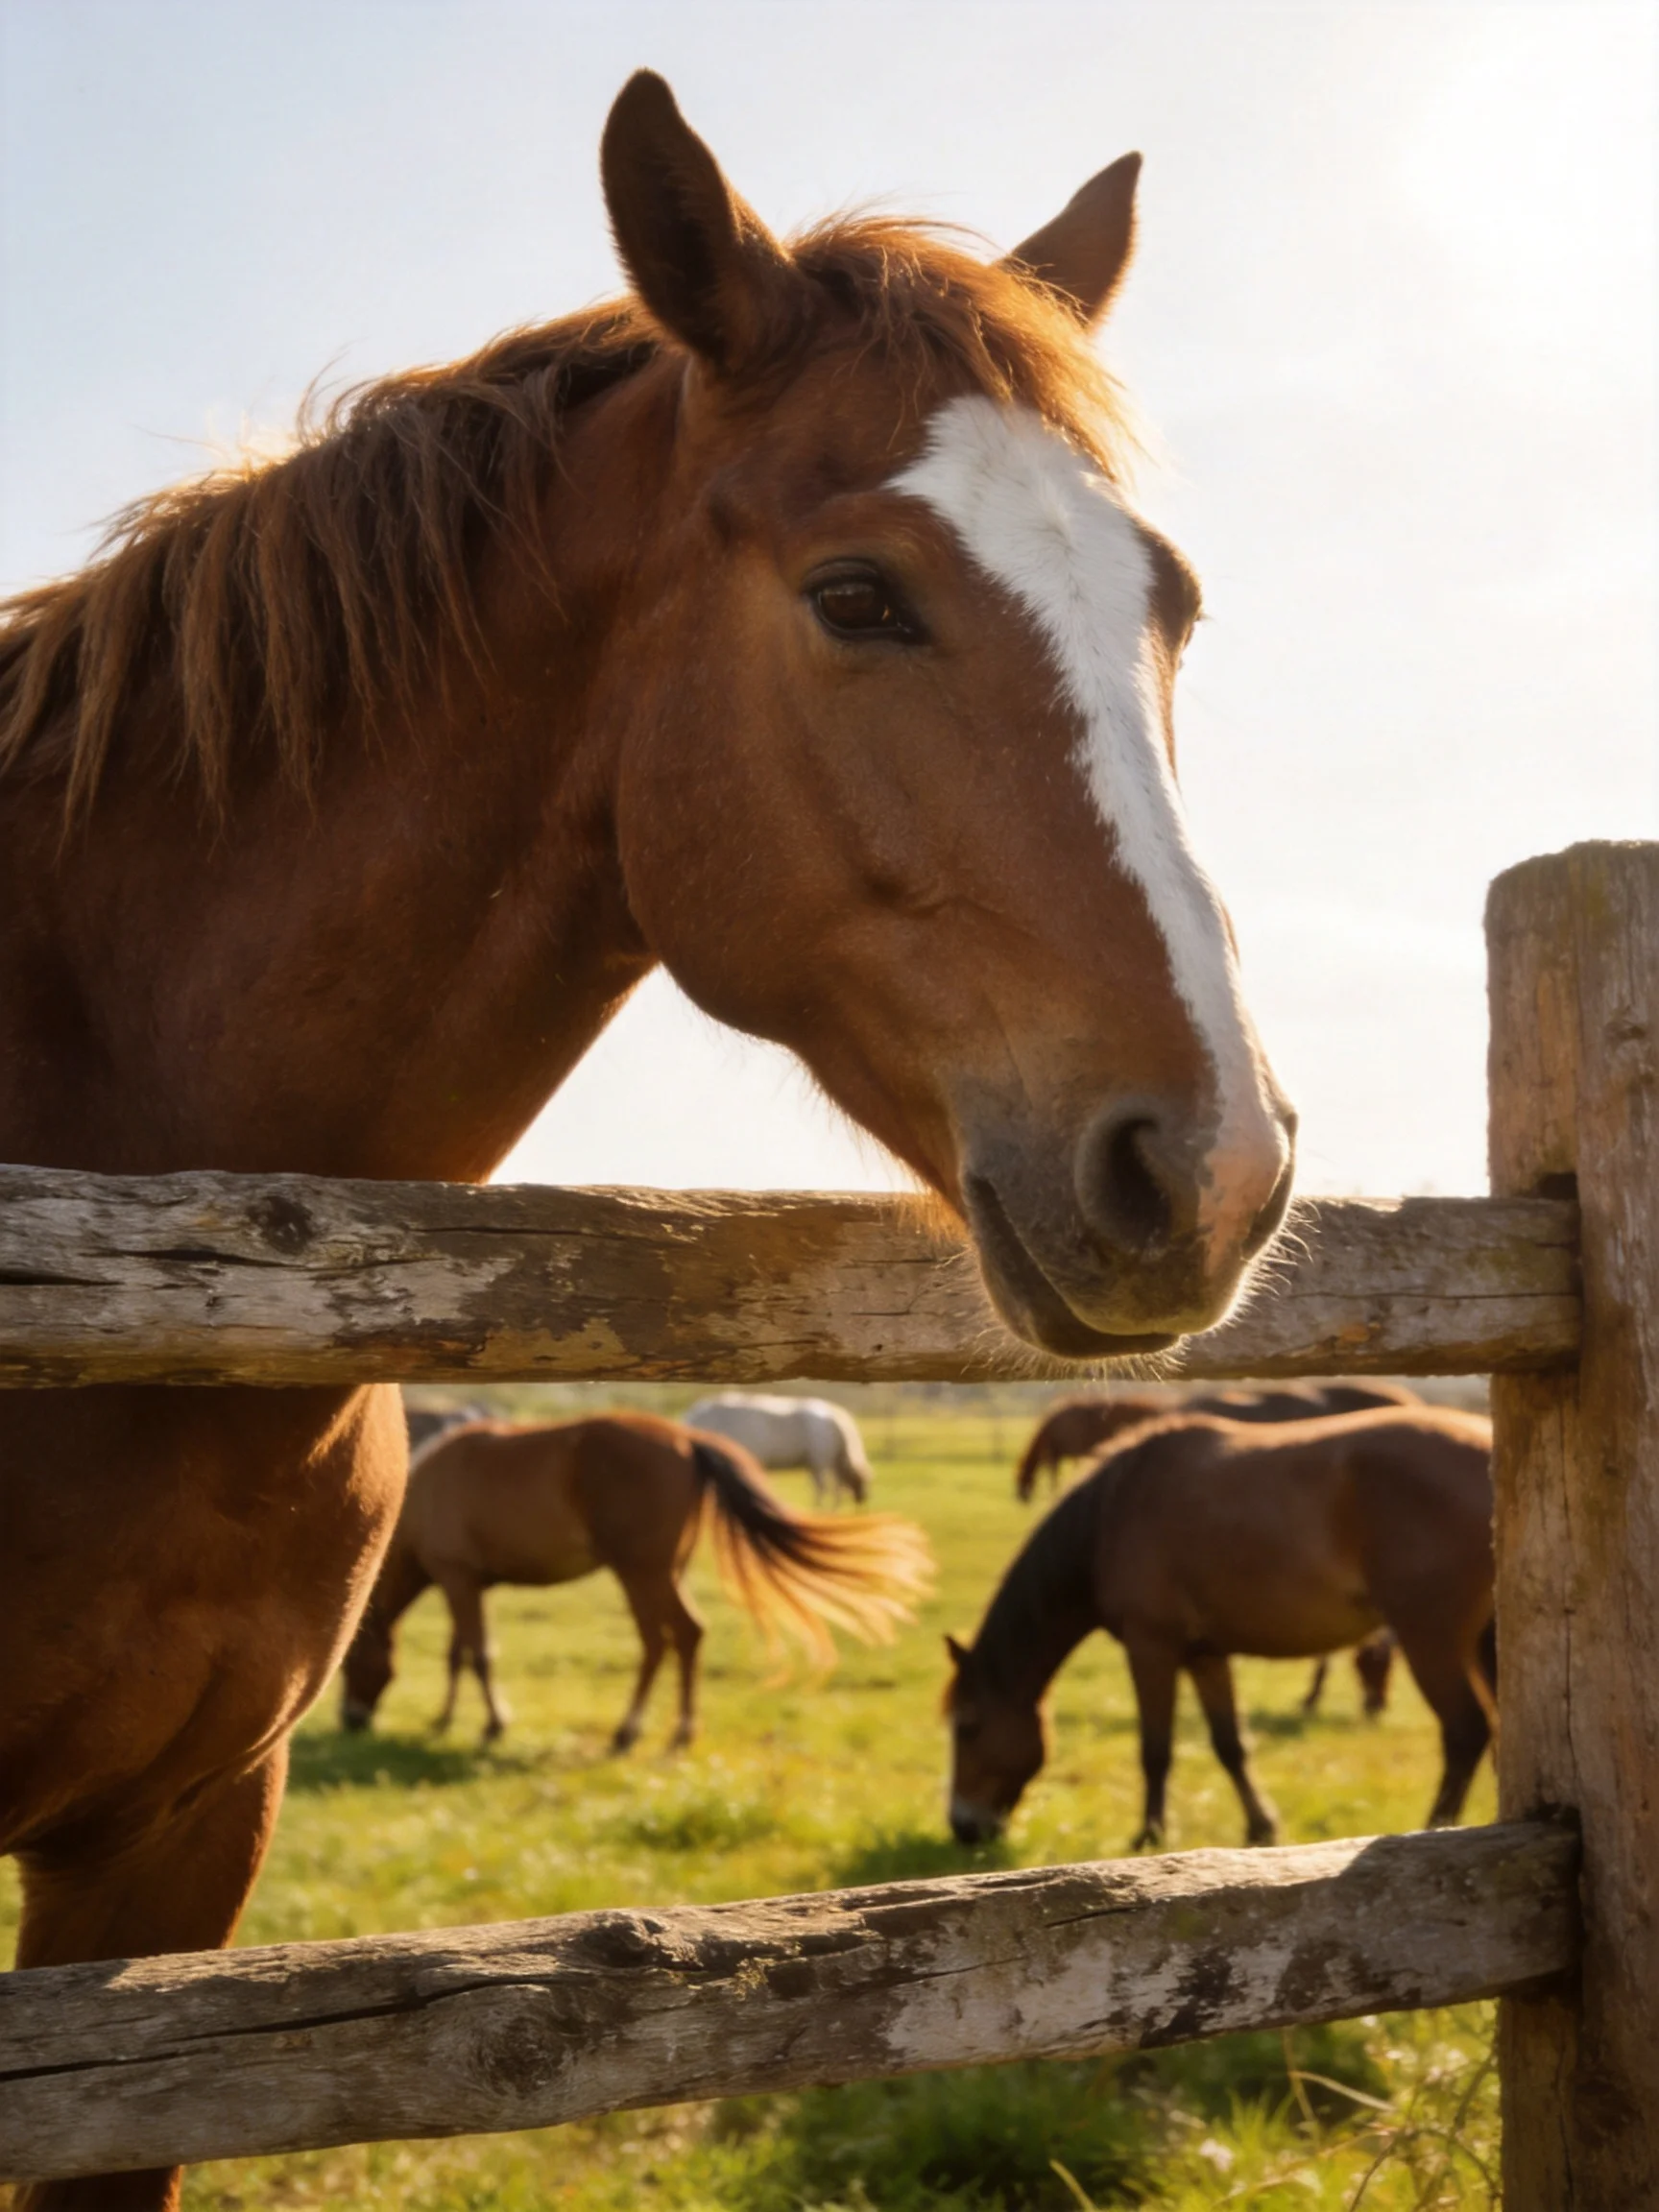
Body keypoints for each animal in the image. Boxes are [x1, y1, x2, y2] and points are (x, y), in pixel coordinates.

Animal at [341, 1413, 930, 1749]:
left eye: (348, 1666)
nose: (352, 1721)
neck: (421, 1496)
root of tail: (687, 1439)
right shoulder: (467, 1585)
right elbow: (459, 1653)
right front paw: (445, 1719)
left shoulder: (457, 1578)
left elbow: (477, 1655)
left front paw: (492, 1725)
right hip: (664, 1571)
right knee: (682, 1637)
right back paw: (669, 1729)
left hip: (640, 1572)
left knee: (666, 1637)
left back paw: (642, 1731)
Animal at [947, 1407, 1494, 1852]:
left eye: (968, 1725)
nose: (963, 1827)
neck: (1113, 1512)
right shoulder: (1204, 1655)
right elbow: (1230, 1745)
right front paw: (1261, 1827)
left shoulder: (1151, 1648)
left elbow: (1156, 1749)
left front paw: (1149, 1835)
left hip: (1431, 1639)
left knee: (1466, 1731)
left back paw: (1434, 1830)